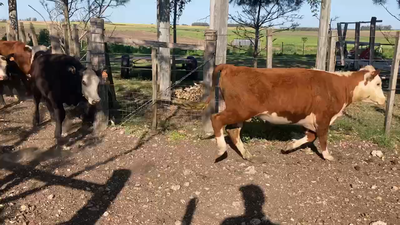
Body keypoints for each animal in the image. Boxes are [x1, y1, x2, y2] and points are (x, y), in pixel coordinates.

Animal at [205, 64, 386, 161]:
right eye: (378, 84)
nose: (384, 100)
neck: (341, 86)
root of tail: (232, 67)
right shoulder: (324, 117)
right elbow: (322, 137)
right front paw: (327, 155)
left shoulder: (310, 119)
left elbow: (311, 136)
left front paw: (289, 146)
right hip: (240, 110)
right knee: (217, 120)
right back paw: (221, 150)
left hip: (240, 112)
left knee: (233, 131)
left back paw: (246, 154)